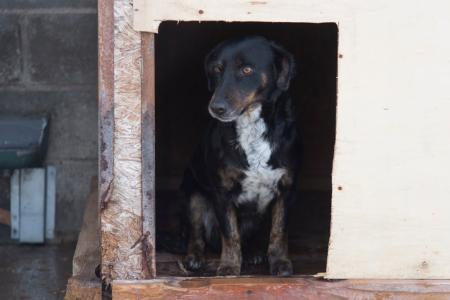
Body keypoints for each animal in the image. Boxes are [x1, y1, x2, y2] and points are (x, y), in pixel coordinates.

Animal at [181, 35, 300, 276]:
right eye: (217, 69)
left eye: (247, 70)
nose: (216, 108)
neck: (252, 124)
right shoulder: (222, 192)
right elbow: (230, 234)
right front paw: (228, 266)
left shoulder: (286, 189)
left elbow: (279, 231)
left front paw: (280, 262)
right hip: (194, 195)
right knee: (196, 233)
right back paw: (195, 257)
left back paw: (253, 252)